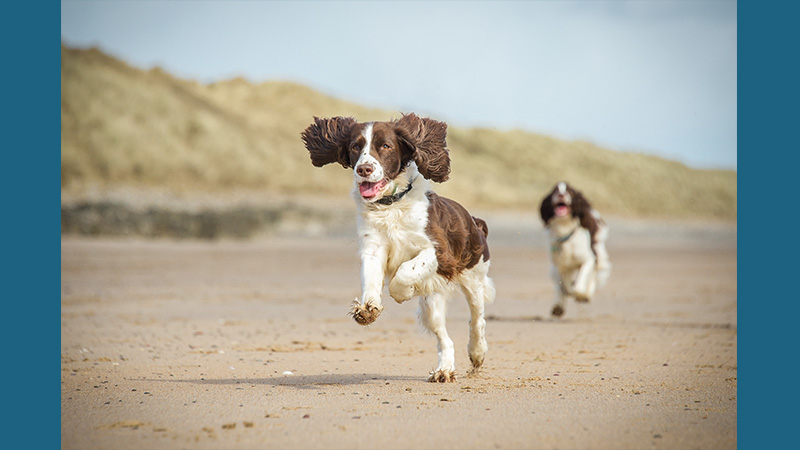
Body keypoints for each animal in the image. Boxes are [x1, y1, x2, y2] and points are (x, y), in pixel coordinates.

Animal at [304, 114, 496, 382]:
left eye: (385, 146)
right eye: (355, 146)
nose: (364, 169)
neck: (390, 206)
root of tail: (475, 221)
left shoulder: (439, 252)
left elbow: (405, 272)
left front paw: (402, 293)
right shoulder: (372, 248)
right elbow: (371, 279)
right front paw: (368, 309)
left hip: (473, 278)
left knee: (477, 319)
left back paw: (477, 353)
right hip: (432, 304)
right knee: (444, 338)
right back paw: (444, 370)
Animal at [536, 182, 612, 316]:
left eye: (569, 191)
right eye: (555, 191)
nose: (561, 194)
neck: (565, 230)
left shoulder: (588, 259)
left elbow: (579, 284)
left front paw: (581, 294)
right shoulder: (560, 266)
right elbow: (565, 286)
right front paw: (567, 293)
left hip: (598, 256)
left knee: (593, 276)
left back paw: (585, 295)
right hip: (554, 269)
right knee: (559, 286)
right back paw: (558, 306)